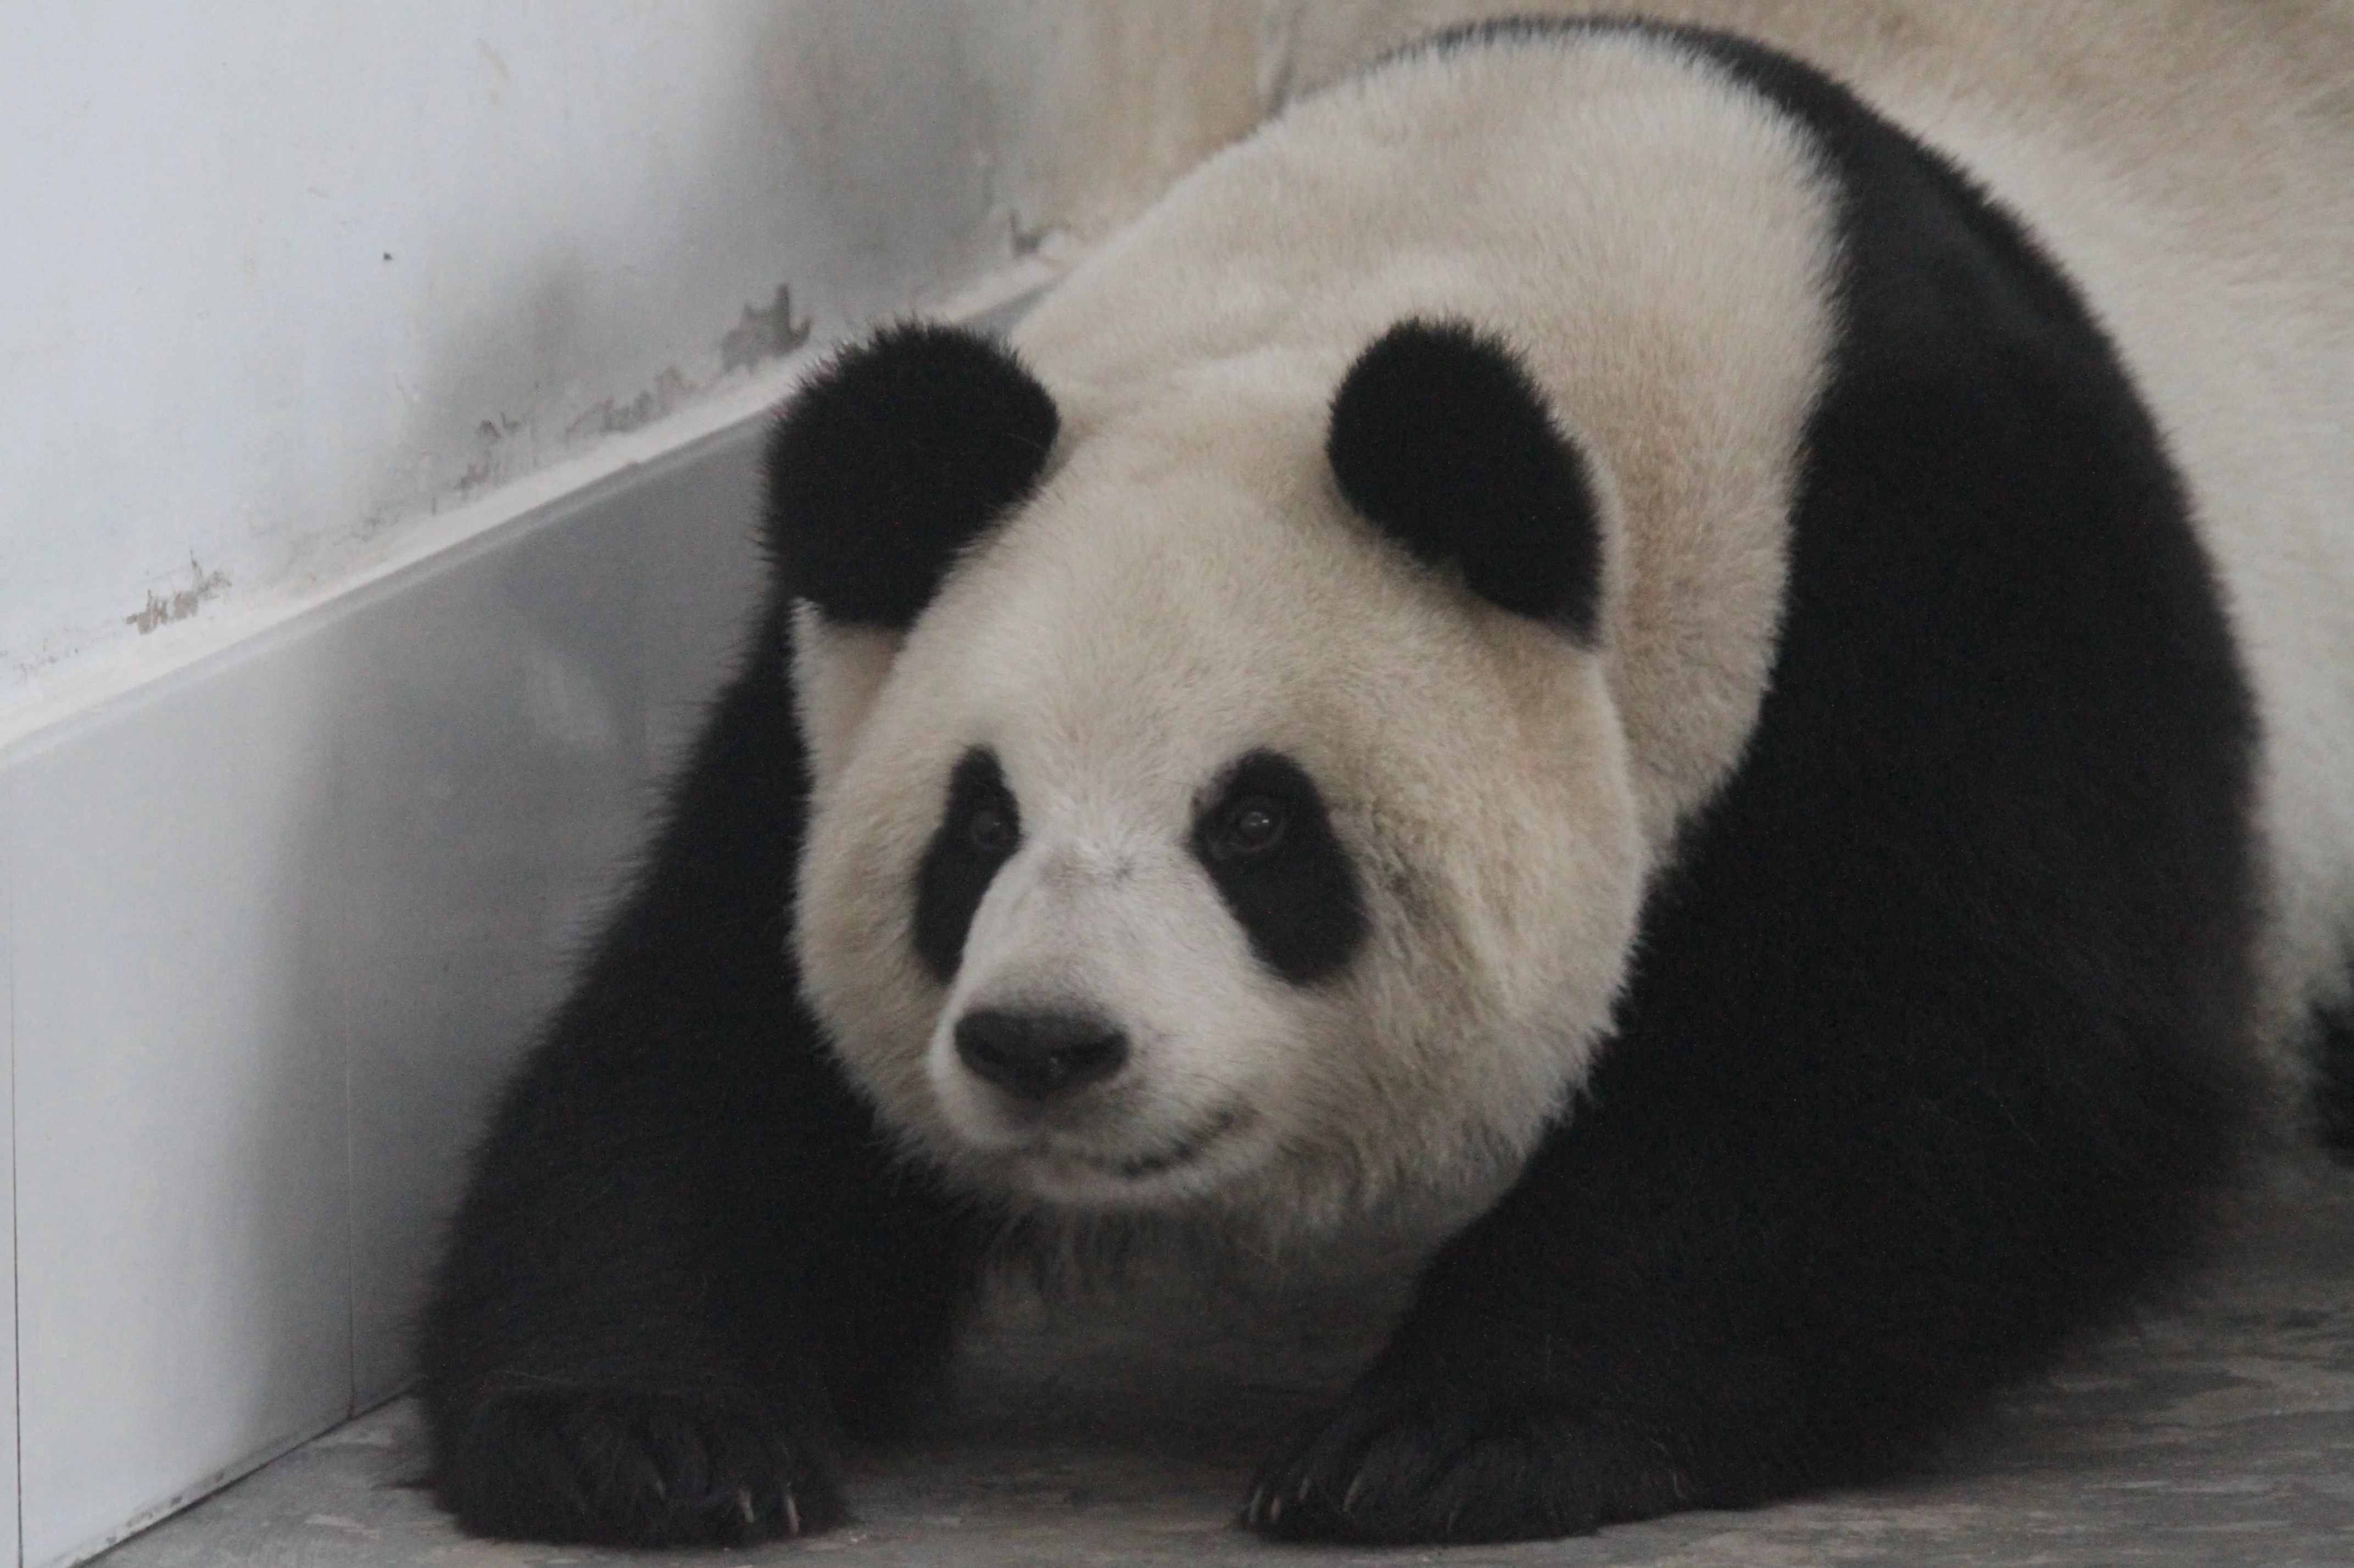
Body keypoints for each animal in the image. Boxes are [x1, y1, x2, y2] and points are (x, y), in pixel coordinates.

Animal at [418, 13, 2354, 1549]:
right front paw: (639, 1433)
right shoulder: (846, 663)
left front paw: (1453, 1435)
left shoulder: (1943, 552)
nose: (1044, 1042)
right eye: (976, 827)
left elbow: (1932, 1048)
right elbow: (709, 1028)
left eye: (1256, 823)